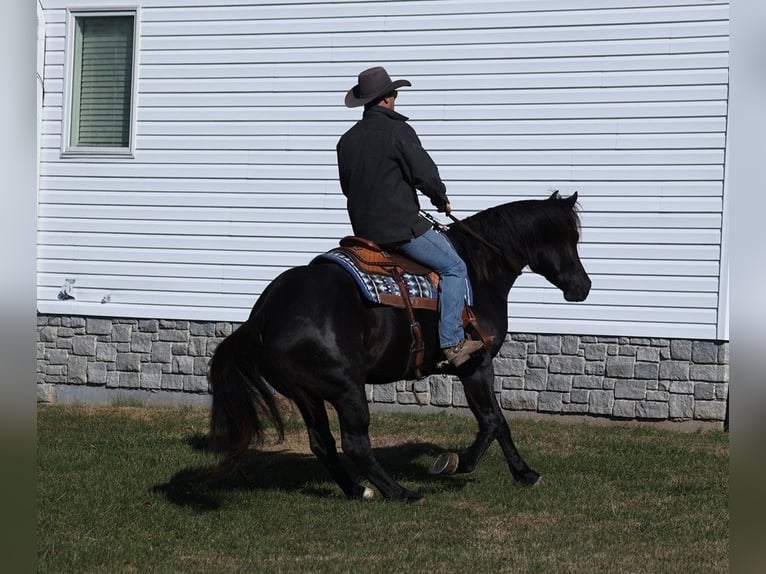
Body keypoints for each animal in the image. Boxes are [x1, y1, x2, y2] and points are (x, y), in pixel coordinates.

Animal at [207, 191, 592, 502]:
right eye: (570, 237)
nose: (583, 286)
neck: (477, 270)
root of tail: (265, 312)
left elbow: (497, 421)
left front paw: (522, 473)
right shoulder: (476, 364)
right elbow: (494, 421)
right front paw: (458, 463)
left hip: (307, 394)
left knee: (323, 443)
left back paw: (357, 490)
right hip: (346, 388)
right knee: (355, 443)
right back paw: (401, 492)